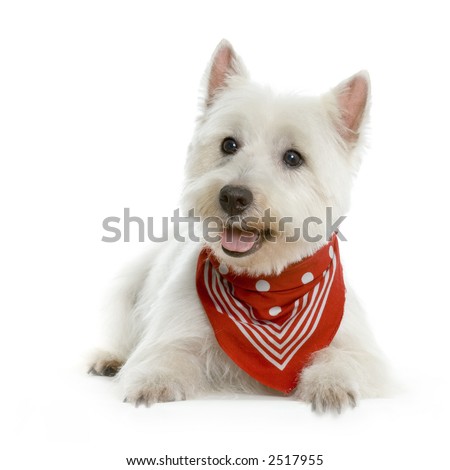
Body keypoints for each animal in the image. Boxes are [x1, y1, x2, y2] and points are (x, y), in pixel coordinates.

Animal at [89, 41, 390, 414]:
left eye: (293, 158)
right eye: (228, 144)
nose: (233, 197)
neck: (266, 289)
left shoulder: (363, 351)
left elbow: (345, 359)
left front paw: (330, 385)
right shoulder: (172, 332)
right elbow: (165, 354)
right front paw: (153, 382)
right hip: (128, 285)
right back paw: (108, 357)